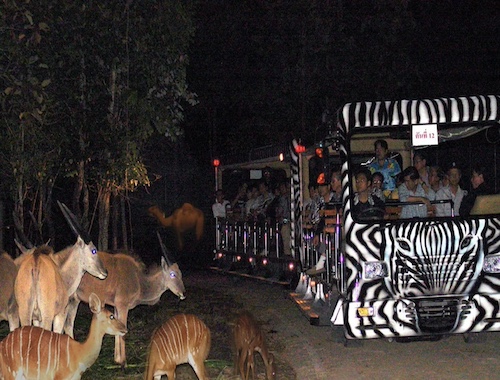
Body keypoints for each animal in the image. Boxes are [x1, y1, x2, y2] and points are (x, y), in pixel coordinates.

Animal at [13, 202, 108, 336]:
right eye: (94, 250)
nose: (105, 272)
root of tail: (36, 263)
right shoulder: (60, 314)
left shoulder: (36, 318)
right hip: (47, 316)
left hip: (25, 313)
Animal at [64, 230, 186, 366]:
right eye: (172, 274)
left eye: (180, 274)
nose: (183, 293)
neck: (140, 281)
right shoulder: (122, 305)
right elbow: (122, 332)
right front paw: (123, 362)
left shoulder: (116, 307)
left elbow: (118, 330)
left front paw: (117, 359)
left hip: (74, 300)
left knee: (68, 325)